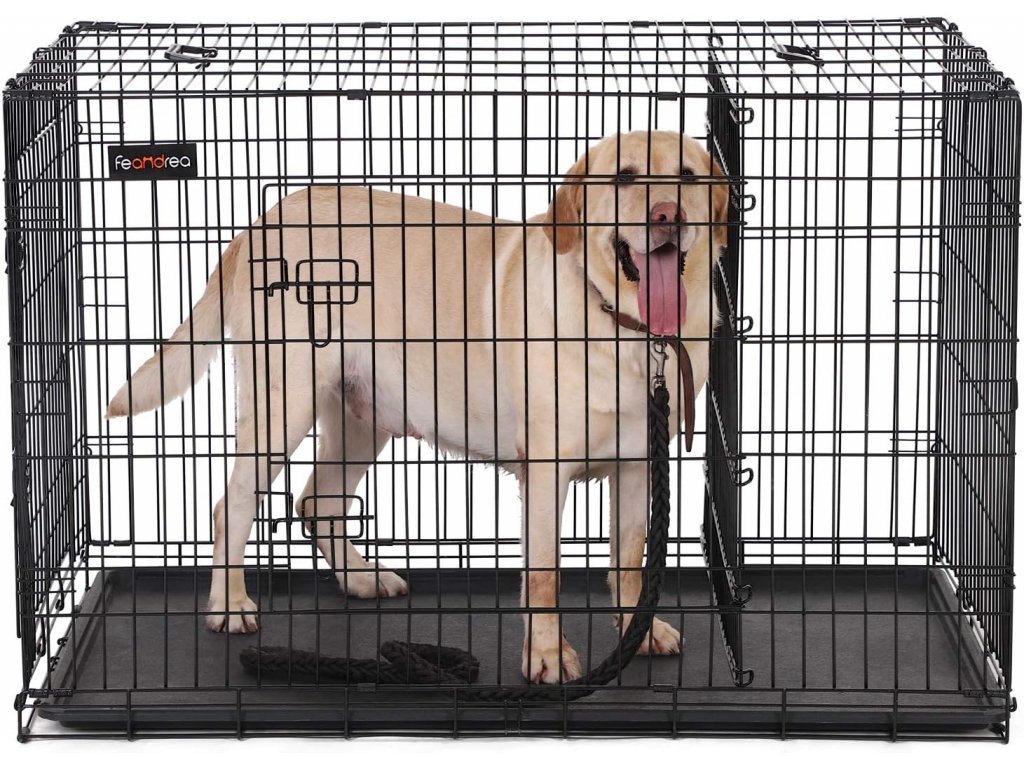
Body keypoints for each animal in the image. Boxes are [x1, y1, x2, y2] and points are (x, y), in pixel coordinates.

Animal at [106, 130, 728, 684]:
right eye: (624, 177)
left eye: (688, 177)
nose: (668, 215)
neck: (629, 329)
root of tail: (261, 221)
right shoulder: (546, 474)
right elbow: (545, 577)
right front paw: (547, 657)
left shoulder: (637, 467)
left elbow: (631, 563)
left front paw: (639, 635)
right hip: (283, 408)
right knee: (230, 506)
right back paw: (230, 605)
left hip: (363, 418)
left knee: (318, 501)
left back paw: (363, 578)